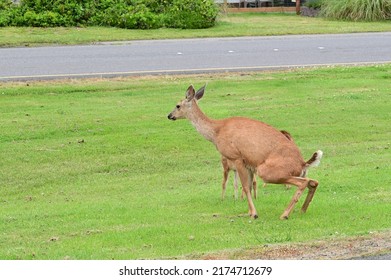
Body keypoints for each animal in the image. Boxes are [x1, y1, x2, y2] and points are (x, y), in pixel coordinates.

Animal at [168, 84, 324, 220]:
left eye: (177, 105)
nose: (169, 115)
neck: (216, 132)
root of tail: (303, 163)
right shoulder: (248, 163)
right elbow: (248, 185)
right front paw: (249, 212)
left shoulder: (236, 157)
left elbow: (245, 186)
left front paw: (254, 214)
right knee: (313, 181)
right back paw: (302, 210)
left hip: (267, 171)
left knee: (303, 182)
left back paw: (284, 215)